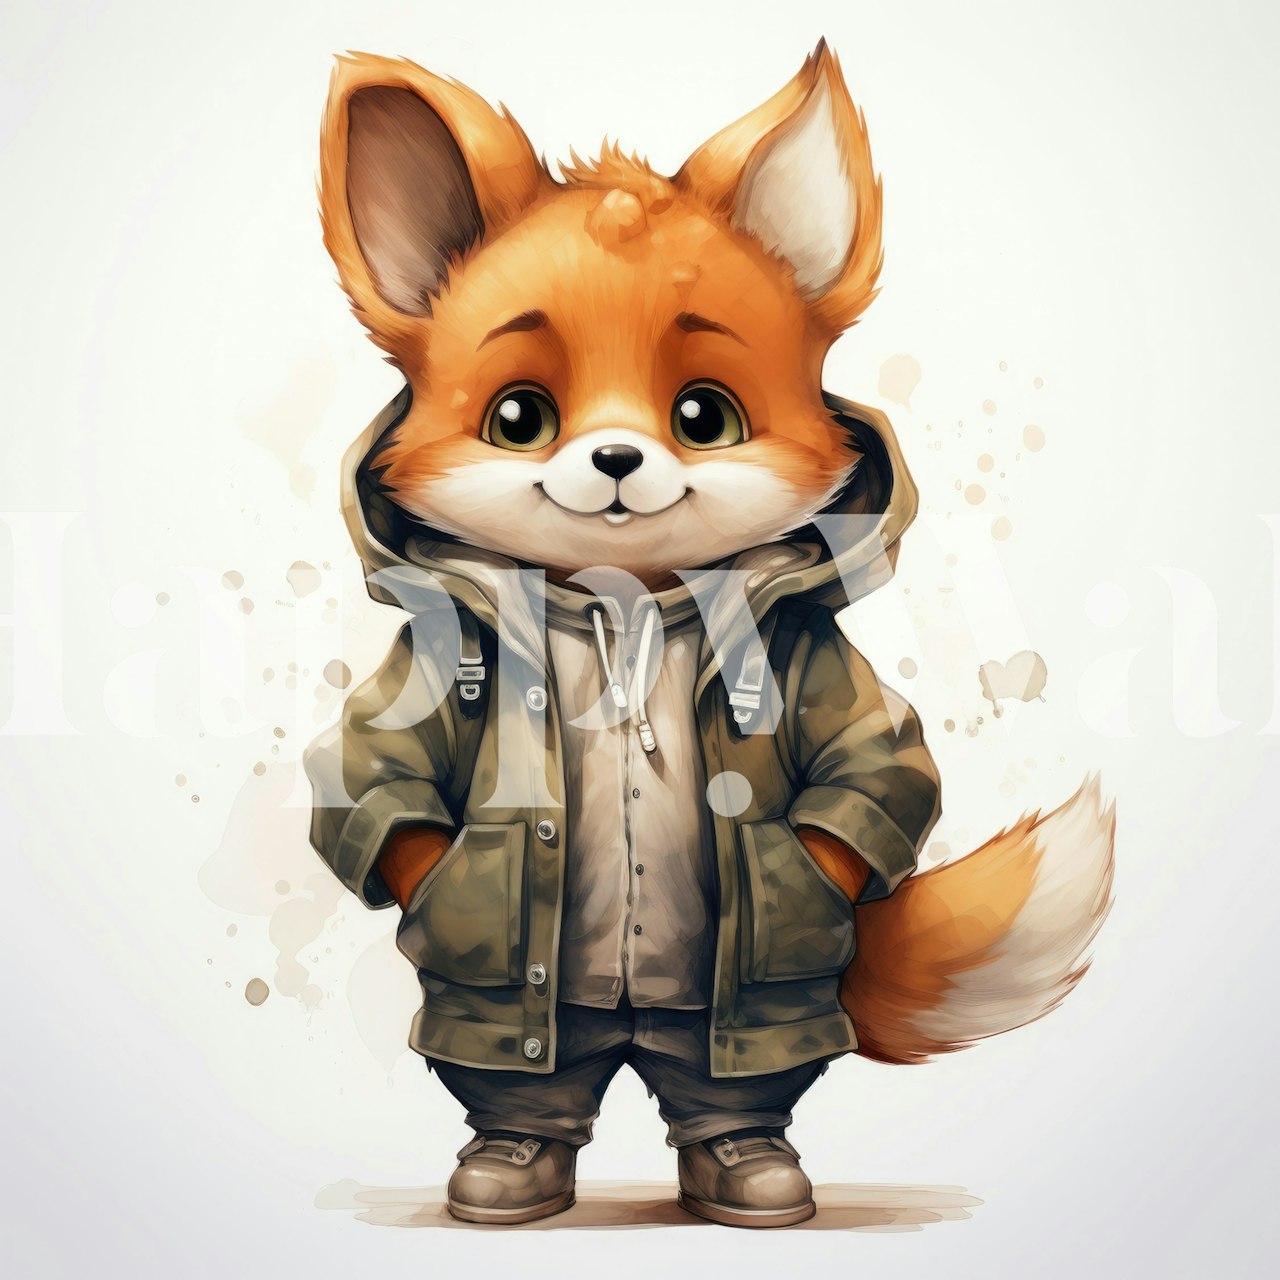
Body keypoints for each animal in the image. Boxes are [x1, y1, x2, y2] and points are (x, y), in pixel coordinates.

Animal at [307, 40, 1115, 1227]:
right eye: (517, 418)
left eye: (702, 416)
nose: (614, 459)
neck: (625, 601)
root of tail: (627, 1013)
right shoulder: (422, 681)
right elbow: (373, 773)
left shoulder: (821, 670)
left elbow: (875, 765)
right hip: (516, 1013)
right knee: (531, 1072)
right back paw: (511, 1162)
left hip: (743, 1008)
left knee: (725, 1074)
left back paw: (747, 1166)